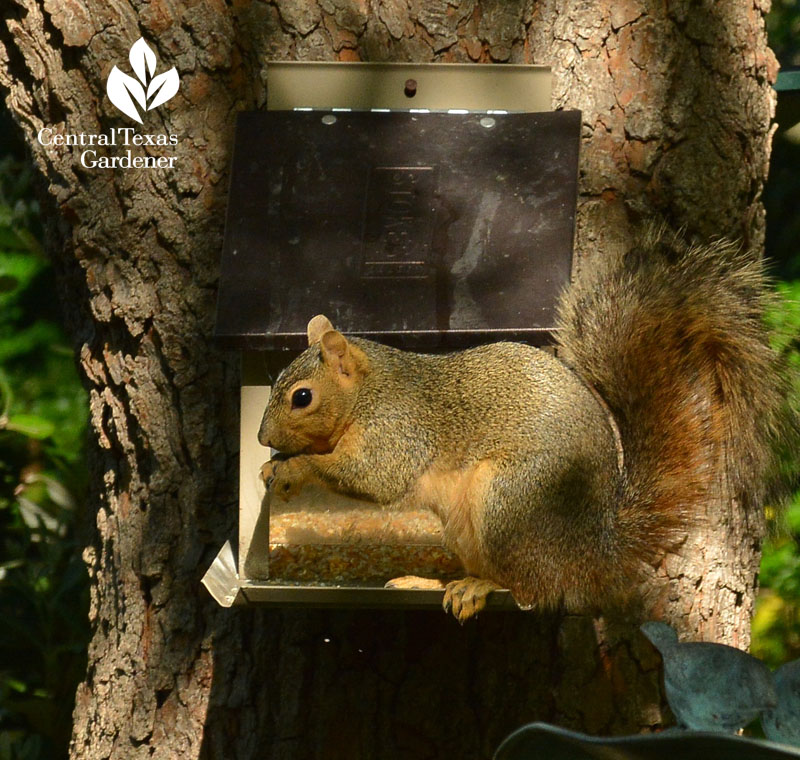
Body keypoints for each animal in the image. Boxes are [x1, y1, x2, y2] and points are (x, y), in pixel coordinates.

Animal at [260, 226, 784, 624]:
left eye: (301, 397)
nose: (263, 438)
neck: (369, 392)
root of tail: (593, 551)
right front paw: (273, 466)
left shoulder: (398, 429)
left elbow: (373, 477)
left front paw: (293, 467)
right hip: (466, 526)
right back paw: (428, 581)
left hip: (509, 498)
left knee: (534, 590)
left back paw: (477, 588)